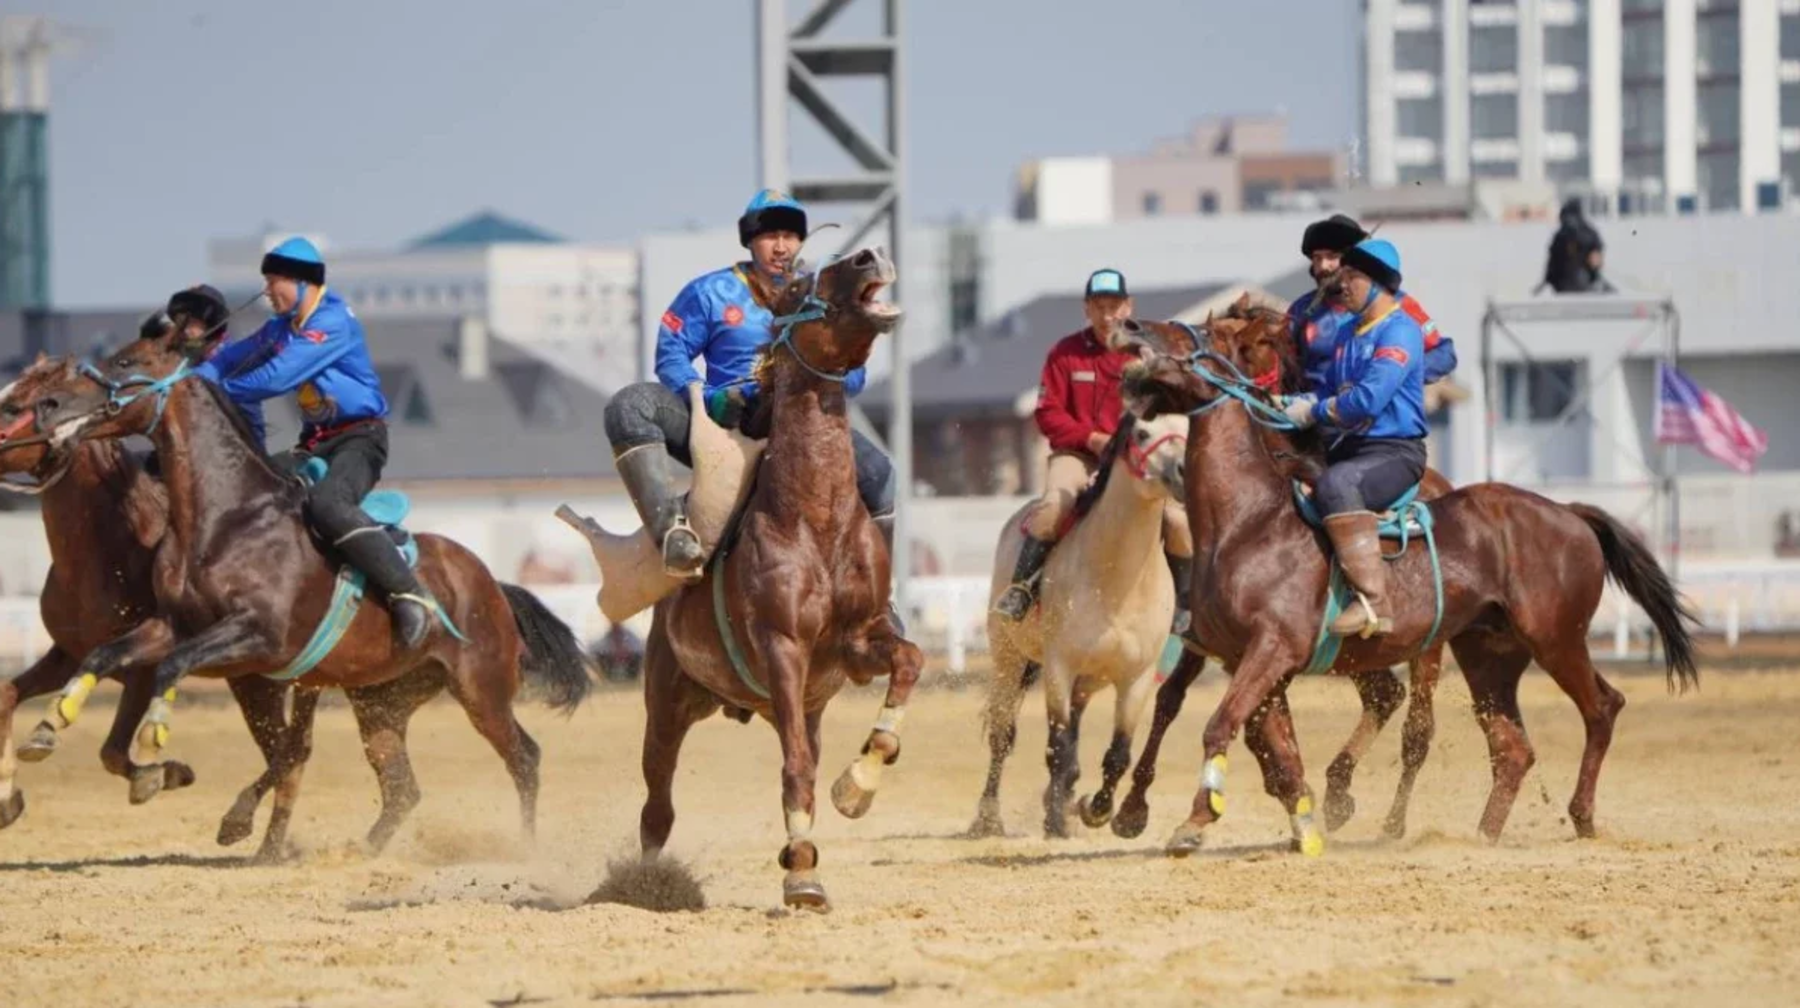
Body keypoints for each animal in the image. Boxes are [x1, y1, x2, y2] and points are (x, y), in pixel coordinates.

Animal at [24, 336, 594, 849]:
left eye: (126, 361)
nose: (48, 406)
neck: (227, 520)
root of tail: (491, 583)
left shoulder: (258, 635)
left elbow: (172, 666)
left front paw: (154, 731)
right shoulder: (172, 625)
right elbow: (105, 653)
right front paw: (49, 724)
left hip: (482, 690)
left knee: (524, 757)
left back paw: (526, 849)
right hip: (380, 703)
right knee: (400, 787)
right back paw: (356, 849)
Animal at [622, 246, 921, 914]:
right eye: (801, 285)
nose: (870, 255)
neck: (815, 519)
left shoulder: (857, 644)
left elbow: (908, 665)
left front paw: (857, 784)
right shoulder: (784, 647)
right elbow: (795, 768)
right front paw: (803, 876)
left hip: (801, 704)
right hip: (667, 702)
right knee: (656, 805)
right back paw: (646, 885)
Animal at [972, 414, 1195, 838]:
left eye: (1188, 432)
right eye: (1142, 433)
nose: (1181, 472)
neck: (1118, 580)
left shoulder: (1137, 677)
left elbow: (1118, 753)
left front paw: (1096, 809)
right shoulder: (1060, 667)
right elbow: (1057, 748)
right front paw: (1059, 822)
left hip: (1087, 683)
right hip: (1009, 659)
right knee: (1002, 736)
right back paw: (987, 819)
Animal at [1116, 311, 1692, 853]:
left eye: (1201, 333)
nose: (1129, 325)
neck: (1249, 519)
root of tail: (1568, 513)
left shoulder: (1272, 649)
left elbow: (1223, 724)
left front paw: (1195, 822)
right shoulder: (1248, 661)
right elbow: (1274, 748)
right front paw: (1302, 825)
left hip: (1555, 639)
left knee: (1600, 708)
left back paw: (1581, 815)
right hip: (1488, 657)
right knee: (1511, 748)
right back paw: (1479, 836)